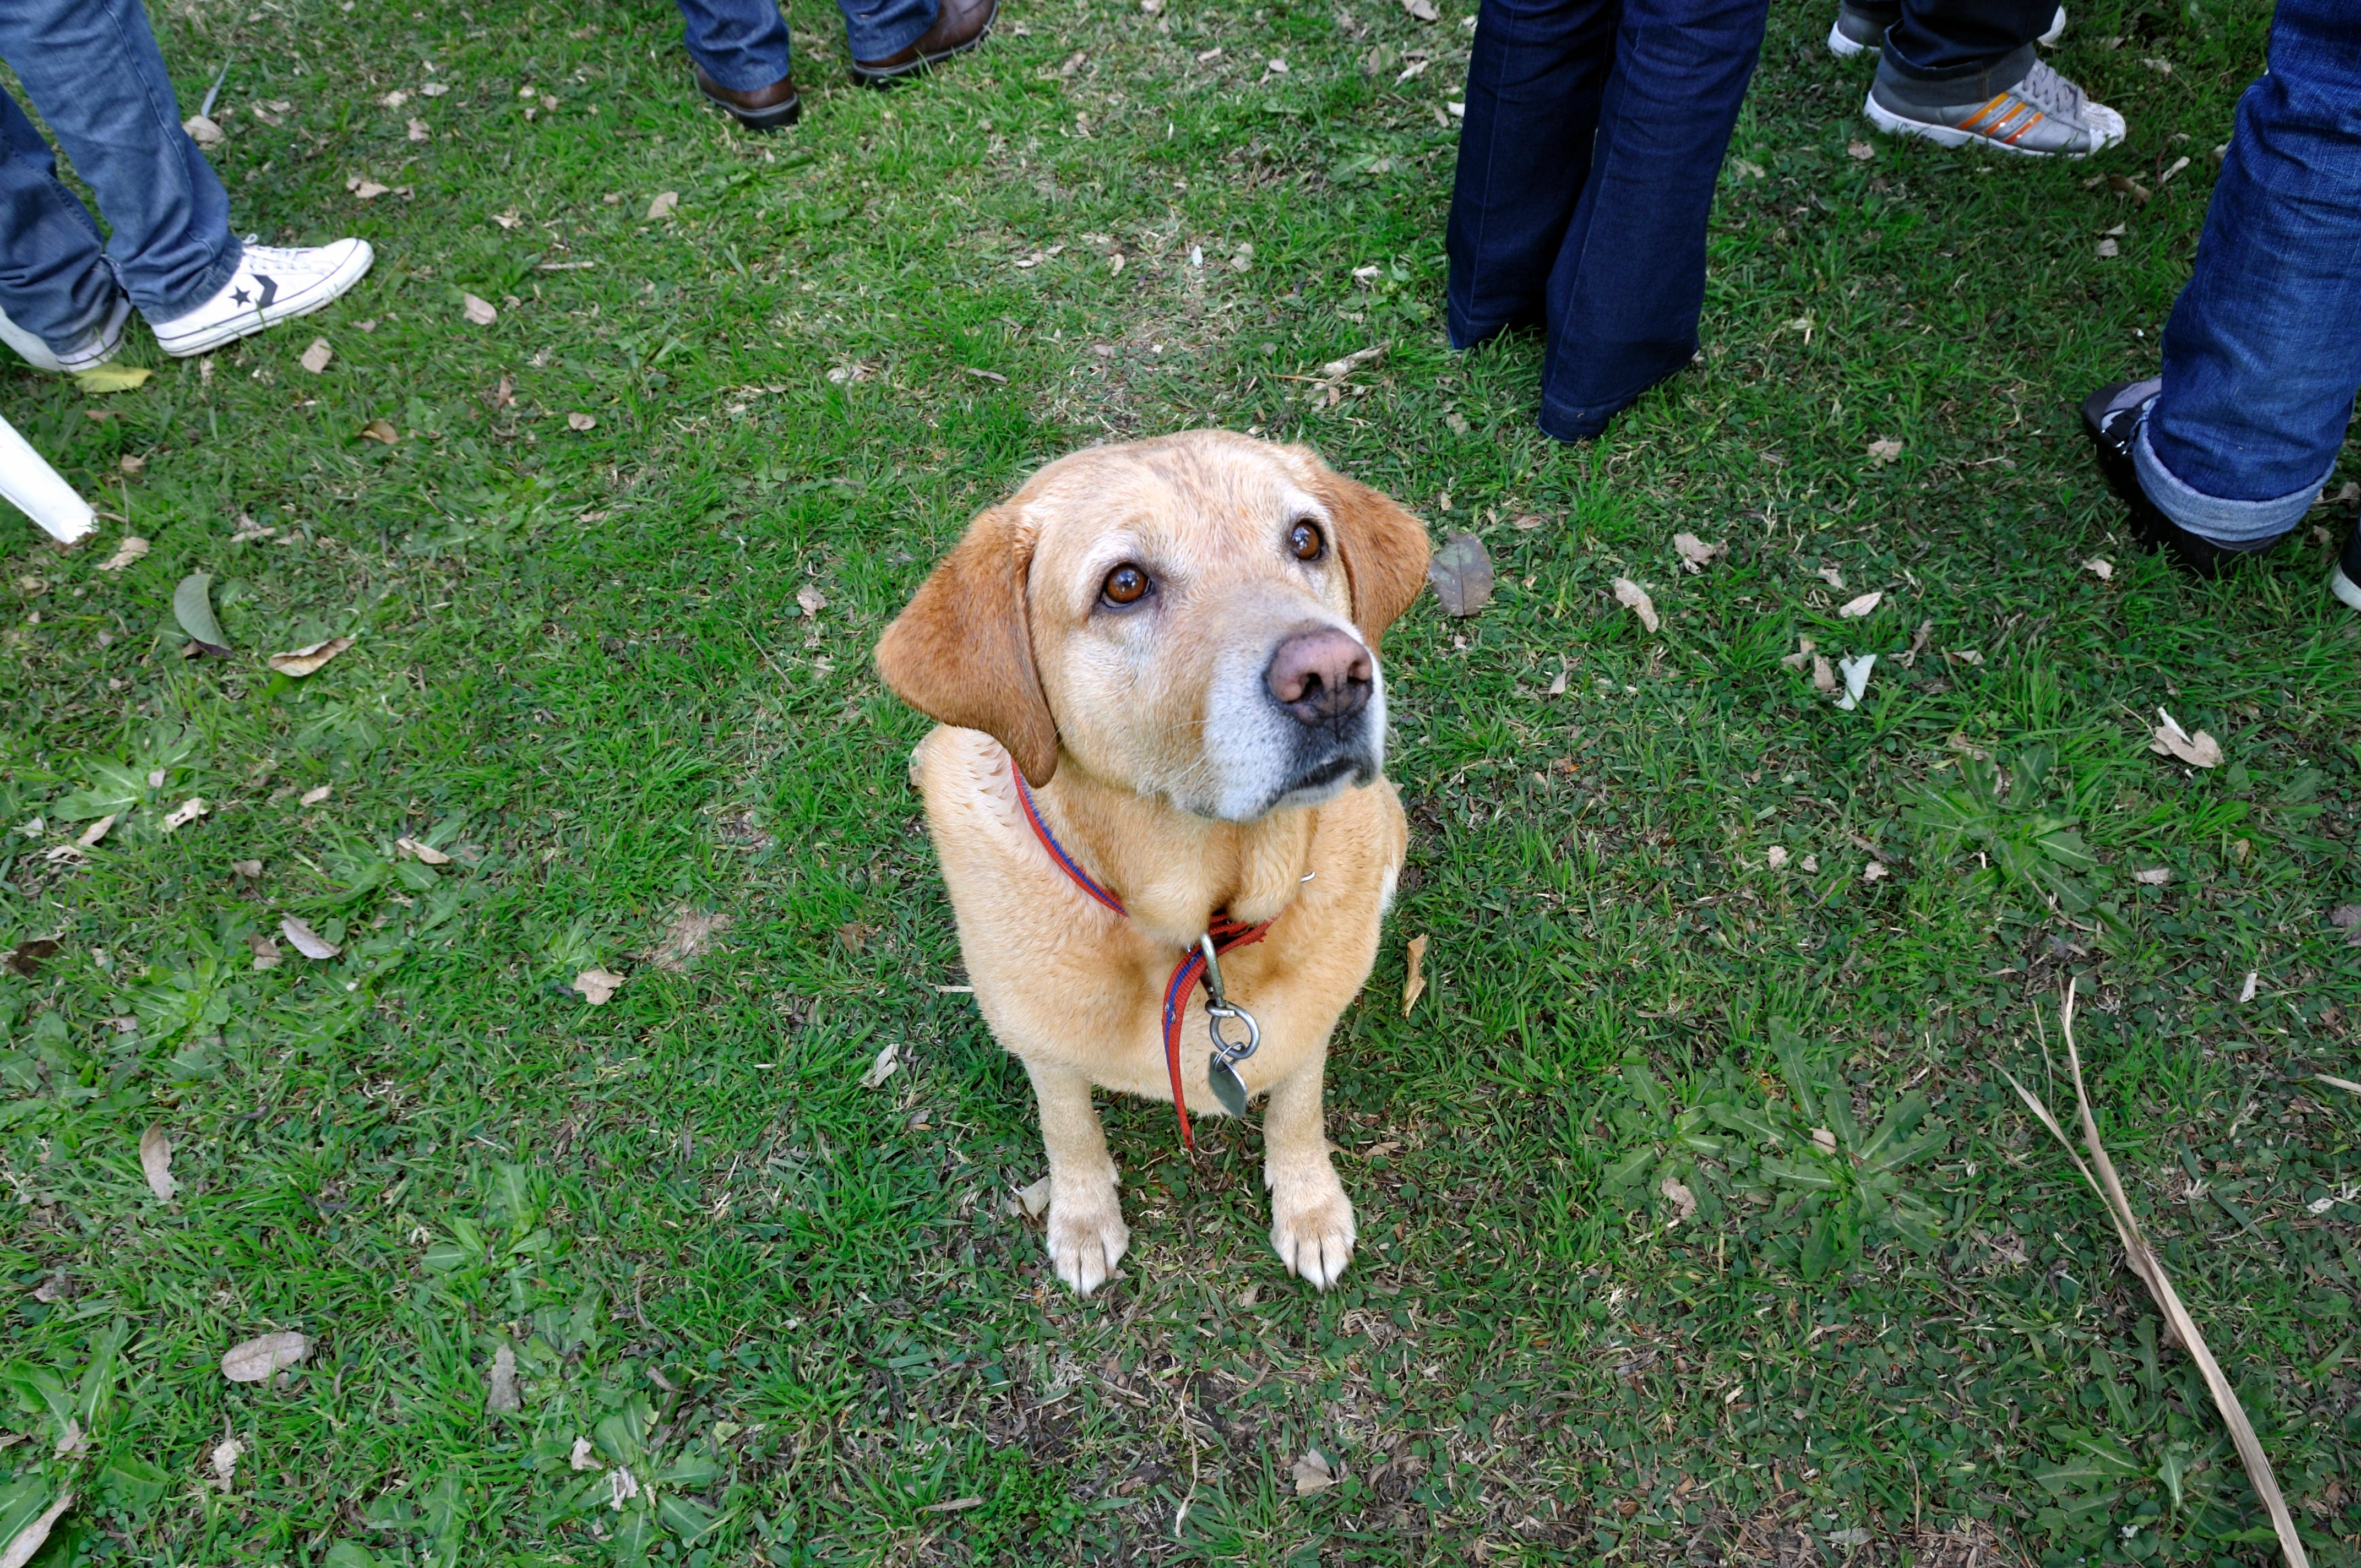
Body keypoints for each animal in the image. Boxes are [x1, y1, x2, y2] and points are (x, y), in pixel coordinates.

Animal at [875, 429, 1429, 1294]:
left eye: (1306, 540)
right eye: (1125, 585)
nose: (1334, 676)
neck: (1195, 922)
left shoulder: (1309, 1023)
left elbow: (1298, 1107)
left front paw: (1308, 1205)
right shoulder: (1038, 1043)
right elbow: (1066, 1125)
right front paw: (1082, 1218)